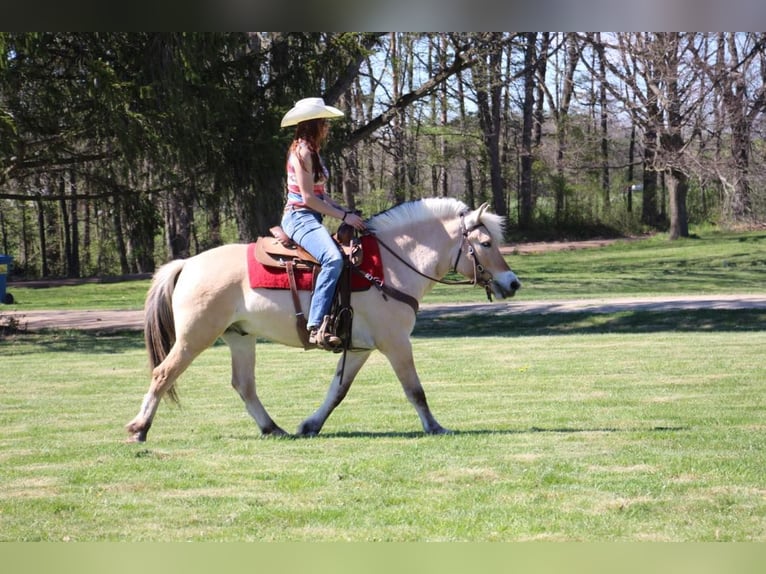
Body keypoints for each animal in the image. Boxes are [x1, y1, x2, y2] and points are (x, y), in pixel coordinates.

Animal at [126, 196, 520, 444]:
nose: (513, 283)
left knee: (244, 385)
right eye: (486, 243)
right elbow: (415, 390)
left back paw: (273, 429)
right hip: (195, 337)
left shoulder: (359, 348)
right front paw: (435, 427)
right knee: (163, 373)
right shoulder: (395, 342)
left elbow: (337, 391)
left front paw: (310, 424)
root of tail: (187, 264)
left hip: (240, 337)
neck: (391, 266)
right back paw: (139, 428)